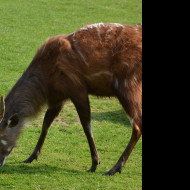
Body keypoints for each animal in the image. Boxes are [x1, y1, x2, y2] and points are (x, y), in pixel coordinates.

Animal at [0, 23, 142, 176]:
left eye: (0, 138)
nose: (0, 163)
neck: (46, 78)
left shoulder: (77, 89)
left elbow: (86, 125)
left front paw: (94, 164)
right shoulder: (58, 97)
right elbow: (46, 122)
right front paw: (31, 156)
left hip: (127, 86)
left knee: (137, 125)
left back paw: (114, 168)